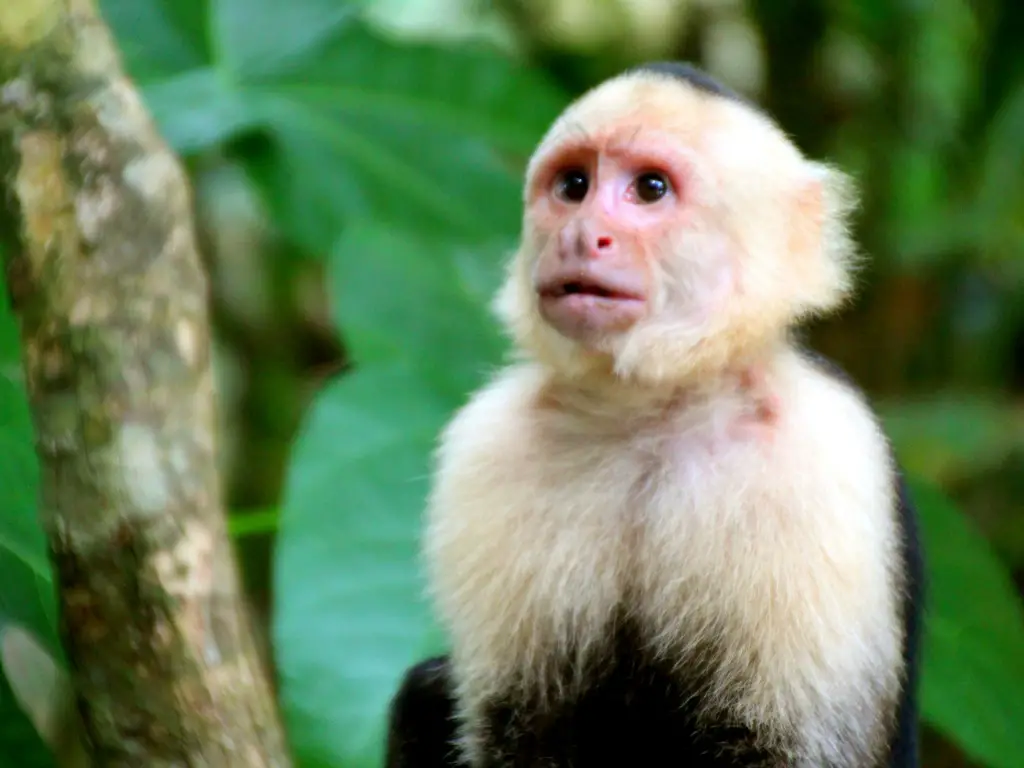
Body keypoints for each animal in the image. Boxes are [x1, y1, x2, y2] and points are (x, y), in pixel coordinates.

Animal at [385, 61, 929, 768]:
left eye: (650, 189)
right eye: (574, 186)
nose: (581, 235)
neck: (651, 410)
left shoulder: (820, 453)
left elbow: (784, 746)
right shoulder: (489, 445)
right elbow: (517, 725)